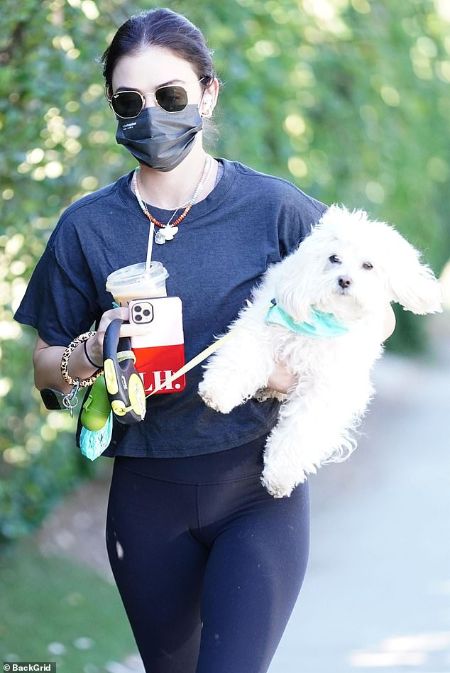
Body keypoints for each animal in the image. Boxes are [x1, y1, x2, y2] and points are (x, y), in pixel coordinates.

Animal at [198, 202, 442, 496]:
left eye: (368, 266)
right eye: (334, 258)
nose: (344, 280)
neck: (324, 319)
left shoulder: (328, 387)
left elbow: (302, 428)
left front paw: (280, 474)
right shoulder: (261, 324)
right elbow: (242, 357)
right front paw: (219, 390)